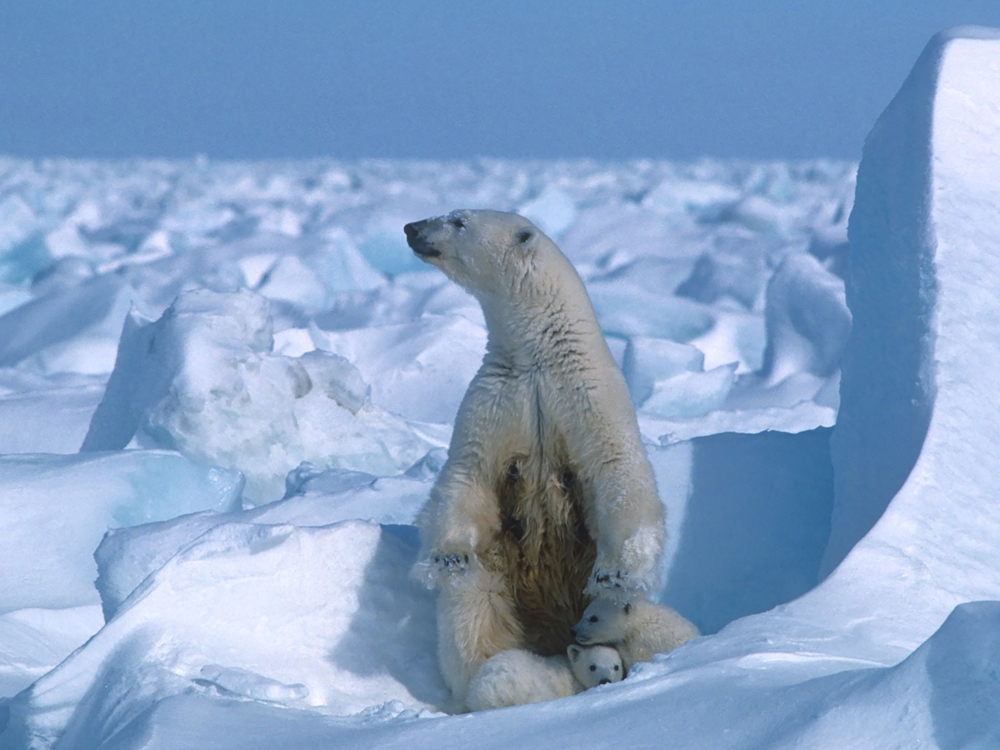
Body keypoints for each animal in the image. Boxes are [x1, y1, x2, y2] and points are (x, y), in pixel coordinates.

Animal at [402, 210, 668, 704]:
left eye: (458, 219)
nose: (411, 228)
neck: (539, 356)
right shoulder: (496, 401)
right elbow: (467, 475)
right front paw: (448, 555)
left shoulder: (588, 397)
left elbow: (619, 472)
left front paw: (614, 572)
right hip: (499, 577)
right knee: (473, 612)